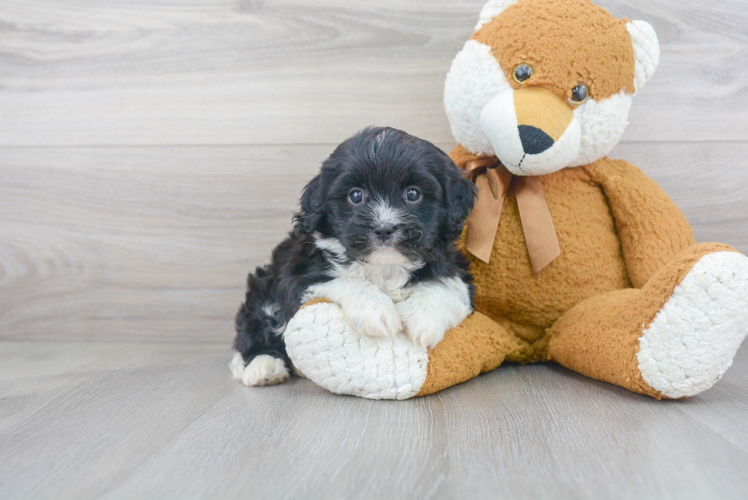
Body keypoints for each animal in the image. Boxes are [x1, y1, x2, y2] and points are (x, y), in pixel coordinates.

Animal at [229, 128, 474, 386]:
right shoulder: (296, 274)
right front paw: (377, 311)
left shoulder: (456, 269)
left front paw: (422, 317)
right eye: (356, 196)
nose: (384, 229)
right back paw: (263, 366)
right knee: (255, 327)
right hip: (263, 286)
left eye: (413, 194)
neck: (385, 266)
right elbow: (344, 279)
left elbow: (445, 285)